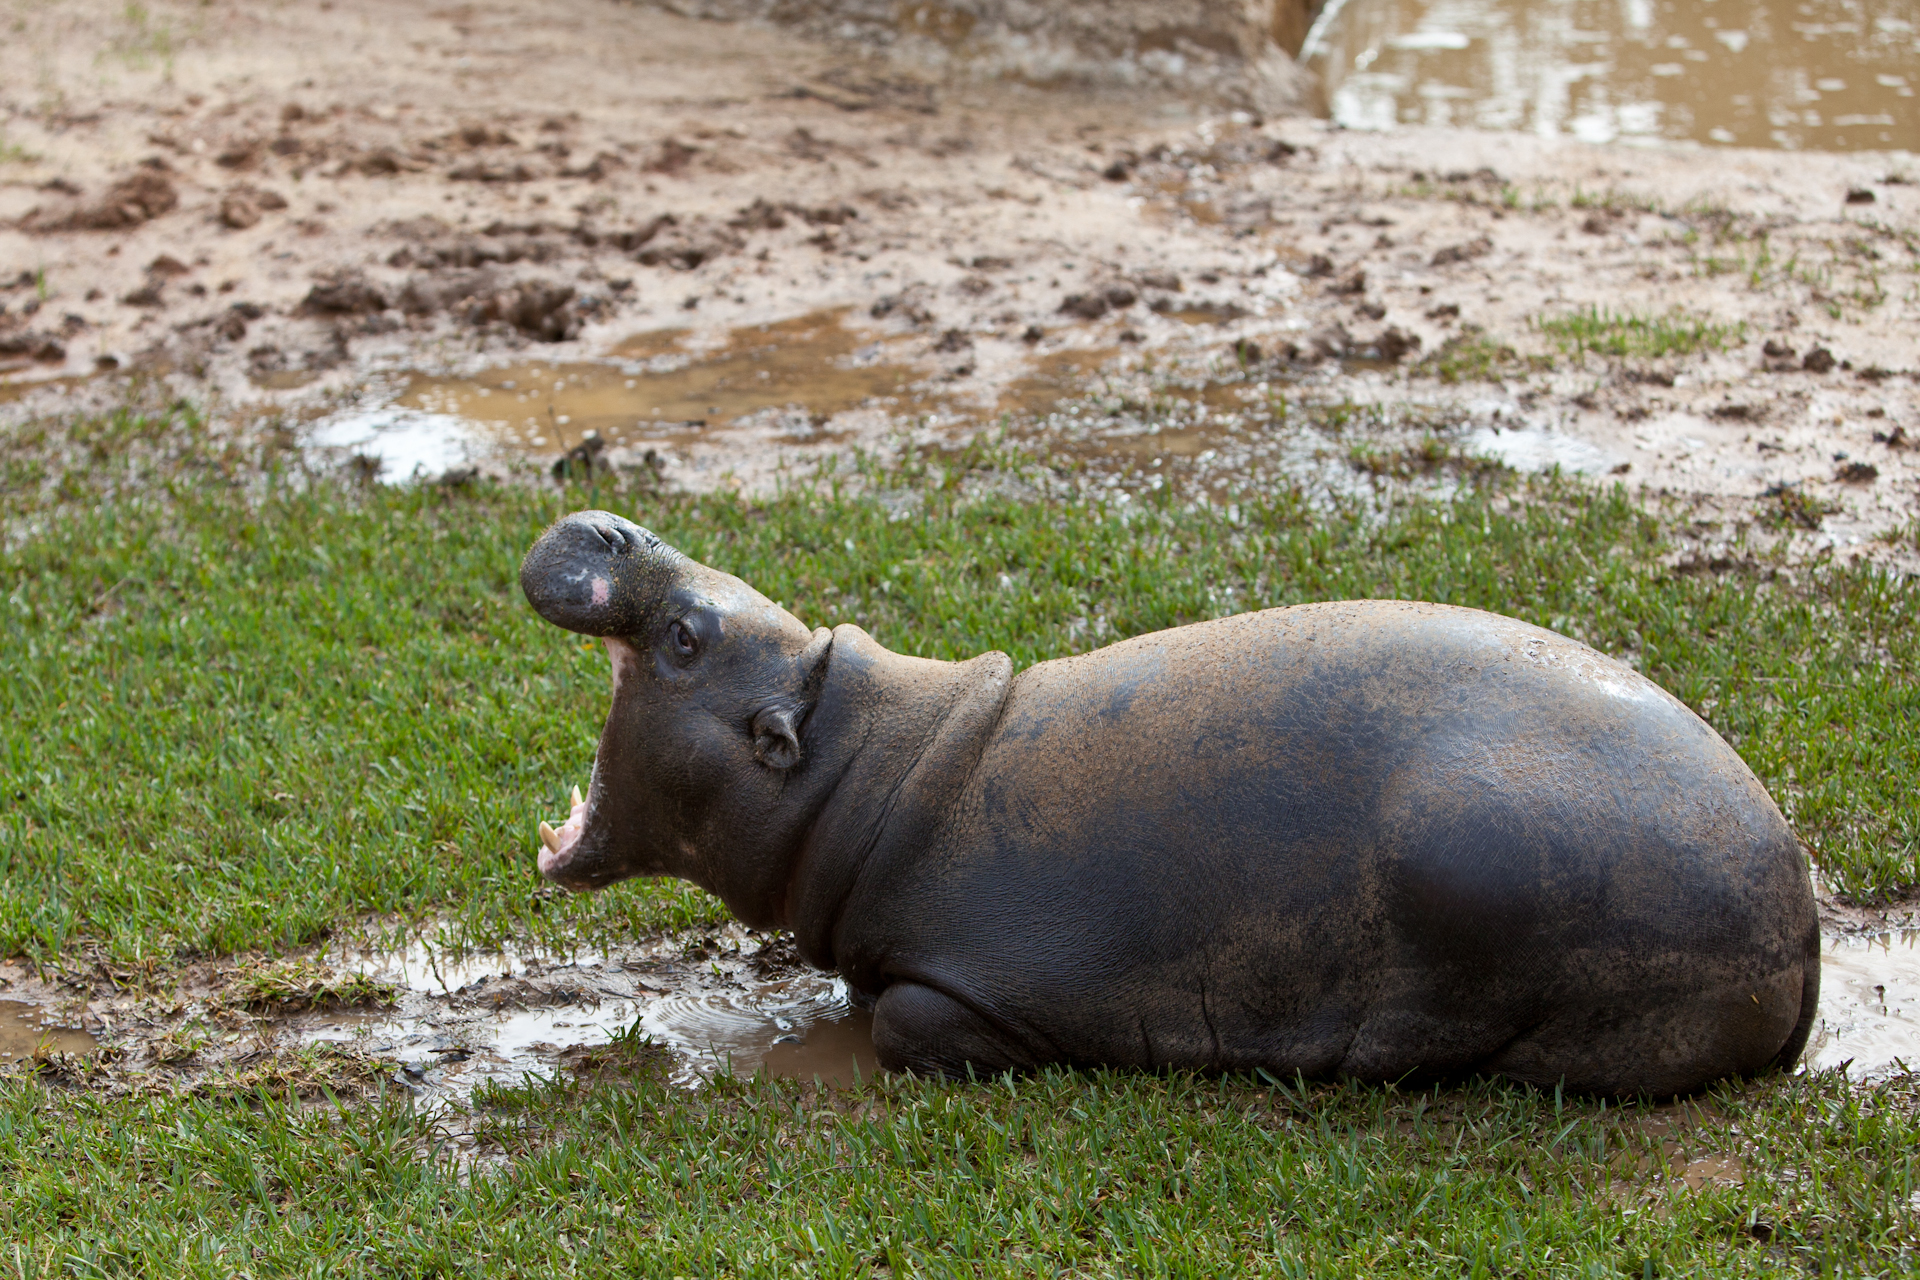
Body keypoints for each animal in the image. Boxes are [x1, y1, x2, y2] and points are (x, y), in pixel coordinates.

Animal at [521, 510, 1819, 1095]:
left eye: (688, 633)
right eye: (712, 596)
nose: (610, 524)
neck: (858, 766)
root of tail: (1804, 915)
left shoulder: (974, 987)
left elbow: (904, 1023)